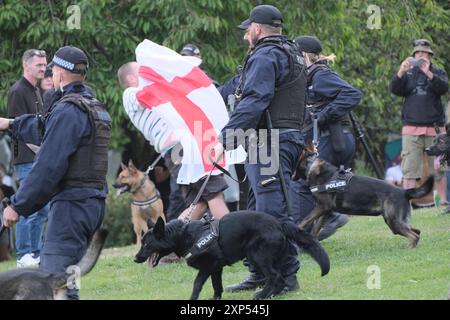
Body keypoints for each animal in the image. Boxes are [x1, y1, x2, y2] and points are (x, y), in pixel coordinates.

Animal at [132, 212, 328, 300]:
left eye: (147, 244)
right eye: (142, 244)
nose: (135, 259)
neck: (183, 235)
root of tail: (279, 223)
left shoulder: (208, 266)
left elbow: (197, 284)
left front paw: (192, 300)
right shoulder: (216, 268)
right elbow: (216, 285)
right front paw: (215, 299)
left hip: (257, 256)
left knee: (275, 276)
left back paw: (262, 295)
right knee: (280, 277)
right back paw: (273, 293)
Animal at [294, 144, 434, 249]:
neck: (312, 166)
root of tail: (404, 192)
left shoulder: (322, 207)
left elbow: (304, 221)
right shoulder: (325, 211)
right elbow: (314, 229)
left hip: (393, 222)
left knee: (414, 235)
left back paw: (409, 250)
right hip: (395, 222)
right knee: (417, 231)